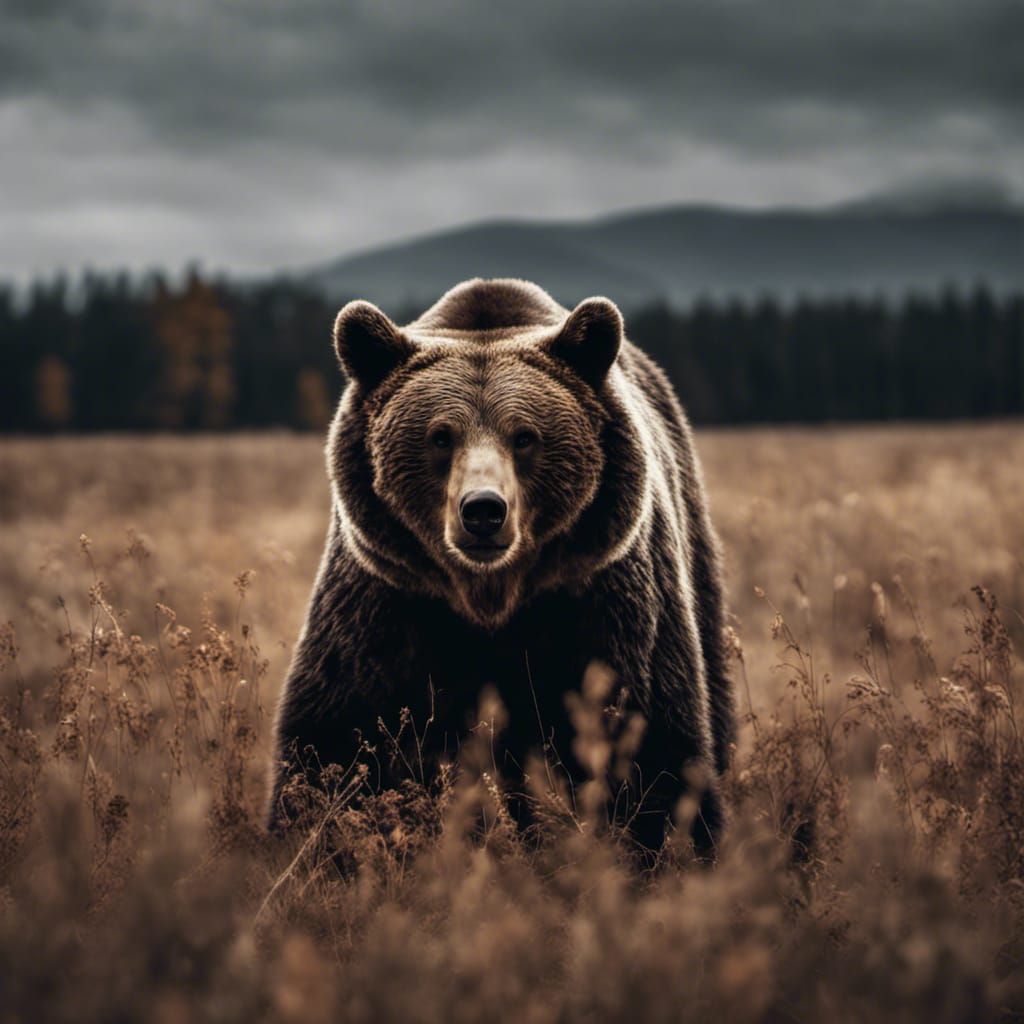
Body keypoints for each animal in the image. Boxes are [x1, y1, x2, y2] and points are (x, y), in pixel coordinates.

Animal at [267, 277, 734, 857]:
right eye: (440, 435)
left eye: (525, 435)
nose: (484, 510)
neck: (492, 598)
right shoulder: (387, 601)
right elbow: (334, 735)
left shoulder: (600, 599)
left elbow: (649, 743)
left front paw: (672, 843)